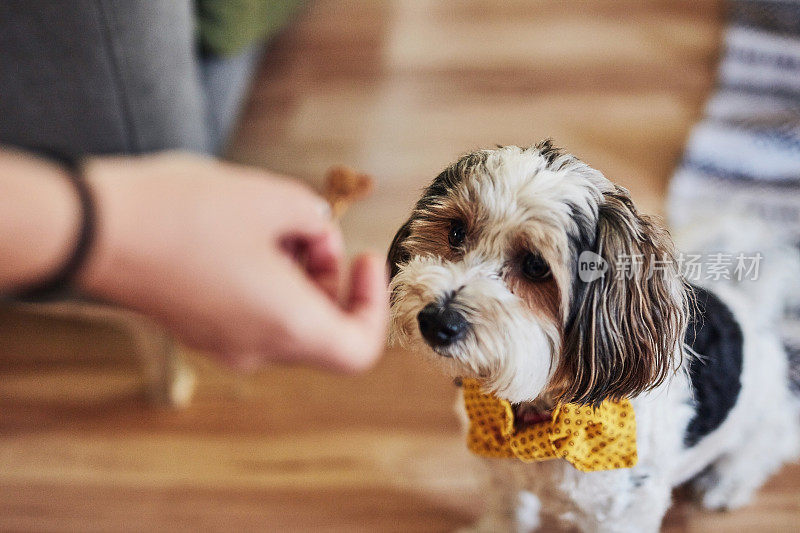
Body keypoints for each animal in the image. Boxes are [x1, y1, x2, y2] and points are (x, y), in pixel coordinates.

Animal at [388, 141, 800, 532]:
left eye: (535, 266)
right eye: (455, 231)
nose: (436, 321)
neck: (540, 417)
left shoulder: (624, 514)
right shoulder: (500, 476)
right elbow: (504, 514)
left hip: (762, 422)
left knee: (765, 448)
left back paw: (724, 484)